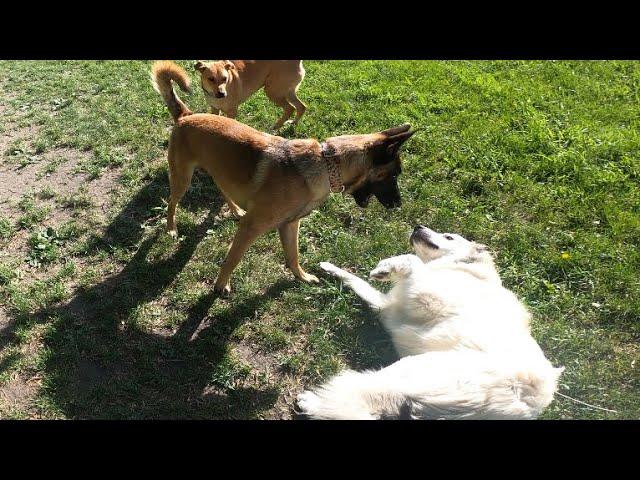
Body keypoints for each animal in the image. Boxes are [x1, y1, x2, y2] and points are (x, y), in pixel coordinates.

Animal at [152, 62, 418, 294]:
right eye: (393, 175)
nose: (398, 205)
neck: (326, 163)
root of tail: (186, 115)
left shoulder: (290, 225)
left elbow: (293, 256)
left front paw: (302, 277)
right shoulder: (250, 228)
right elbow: (233, 258)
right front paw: (220, 285)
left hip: (217, 169)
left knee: (222, 188)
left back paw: (235, 209)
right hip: (182, 178)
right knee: (172, 203)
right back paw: (171, 228)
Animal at [298, 227, 564, 418]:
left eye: (449, 236)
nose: (417, 226)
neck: (465, 269)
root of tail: (524, 404)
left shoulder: (423, 292)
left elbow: (411, 260)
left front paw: (385, 267)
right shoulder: (388, 307)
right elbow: (355, 280)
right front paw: (330, 268)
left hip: (411, 371)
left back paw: (310, 403)